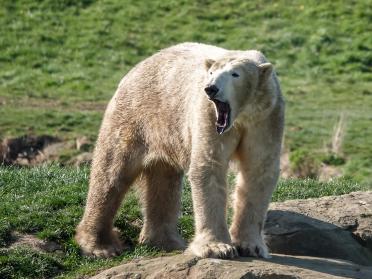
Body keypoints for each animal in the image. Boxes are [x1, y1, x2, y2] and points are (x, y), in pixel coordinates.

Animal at [75, 42, 284, 260]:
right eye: (211, 72)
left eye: (235, 74)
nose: (210, 88)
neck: (241, 117)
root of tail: (135, 69)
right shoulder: (208, 116)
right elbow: (209, 166)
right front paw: (217, 248)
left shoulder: (266, 118)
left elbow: (258, 171)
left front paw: (251, 246)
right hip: (135, 117)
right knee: (112, 173)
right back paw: (100, 246)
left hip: (164, 130)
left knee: (163, 181)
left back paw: (166, 241)